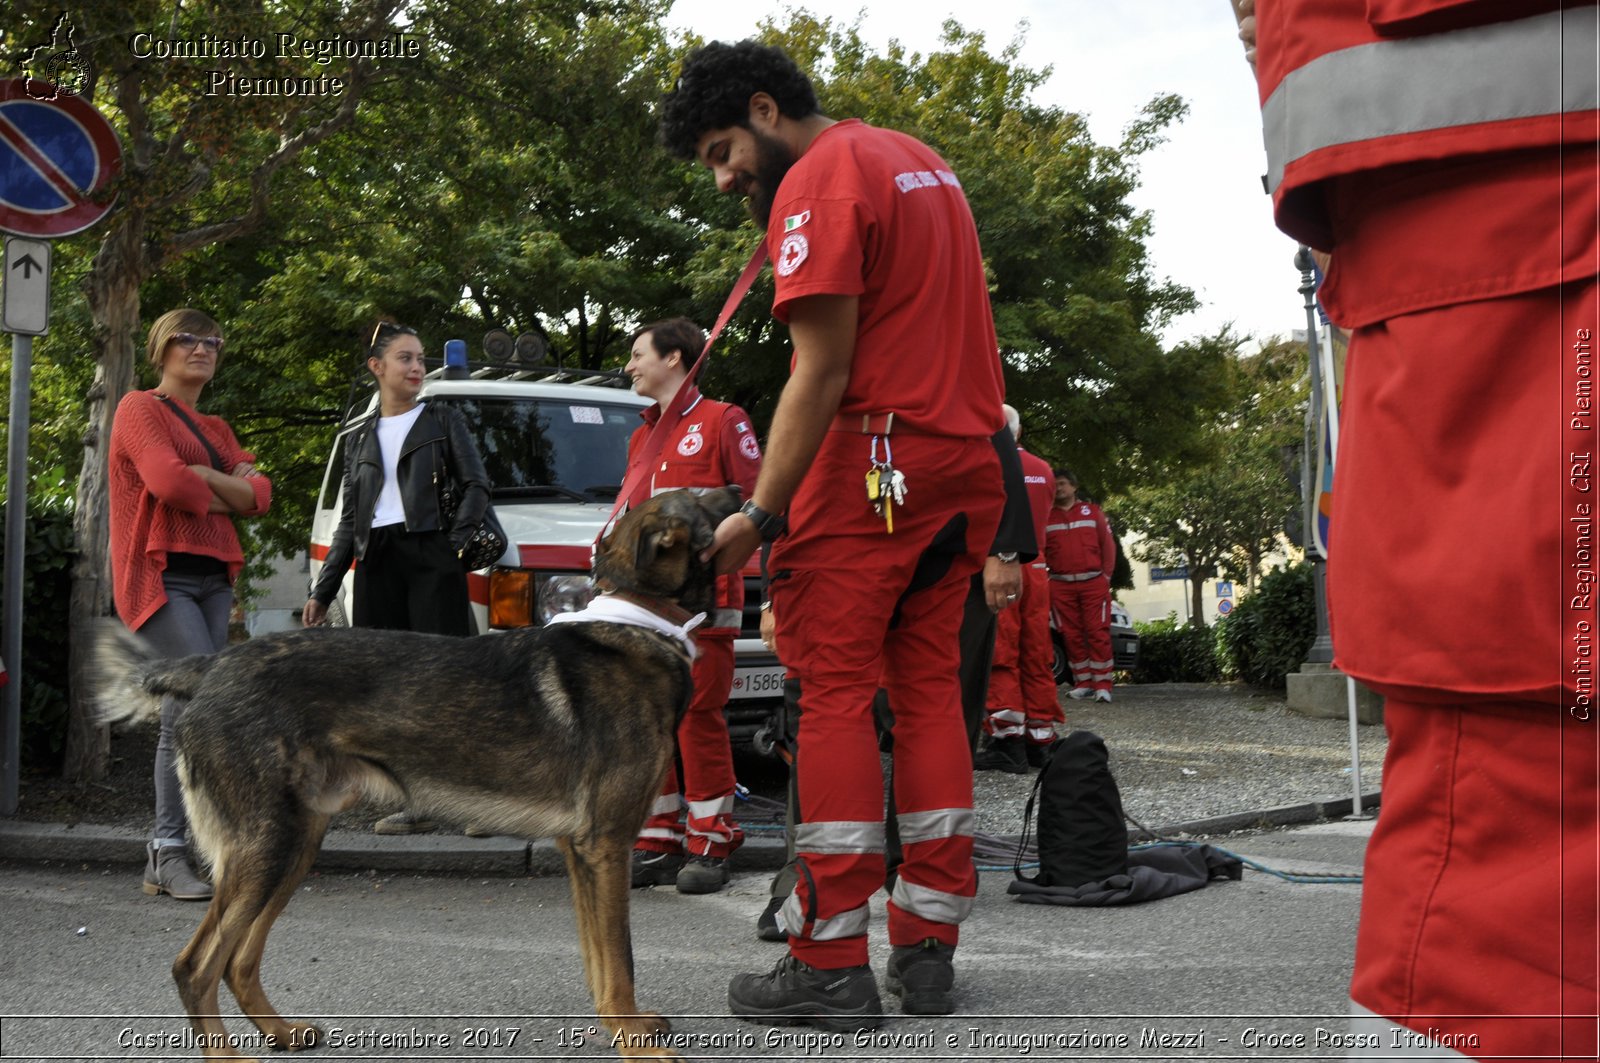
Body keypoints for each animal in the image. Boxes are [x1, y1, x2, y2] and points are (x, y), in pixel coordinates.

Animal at [96, 486, 745, 1056]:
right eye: (703, 496)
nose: (745, 492)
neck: (639, 621)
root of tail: (211, 665)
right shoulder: (606, 845)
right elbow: (620, 960)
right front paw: (635, 1042)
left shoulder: (579, 850)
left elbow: (599, 962)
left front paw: (617, 1024)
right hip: (266, 848)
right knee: (196, 967)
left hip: (296, 846)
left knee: (237, 961)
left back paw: (283, 1032)